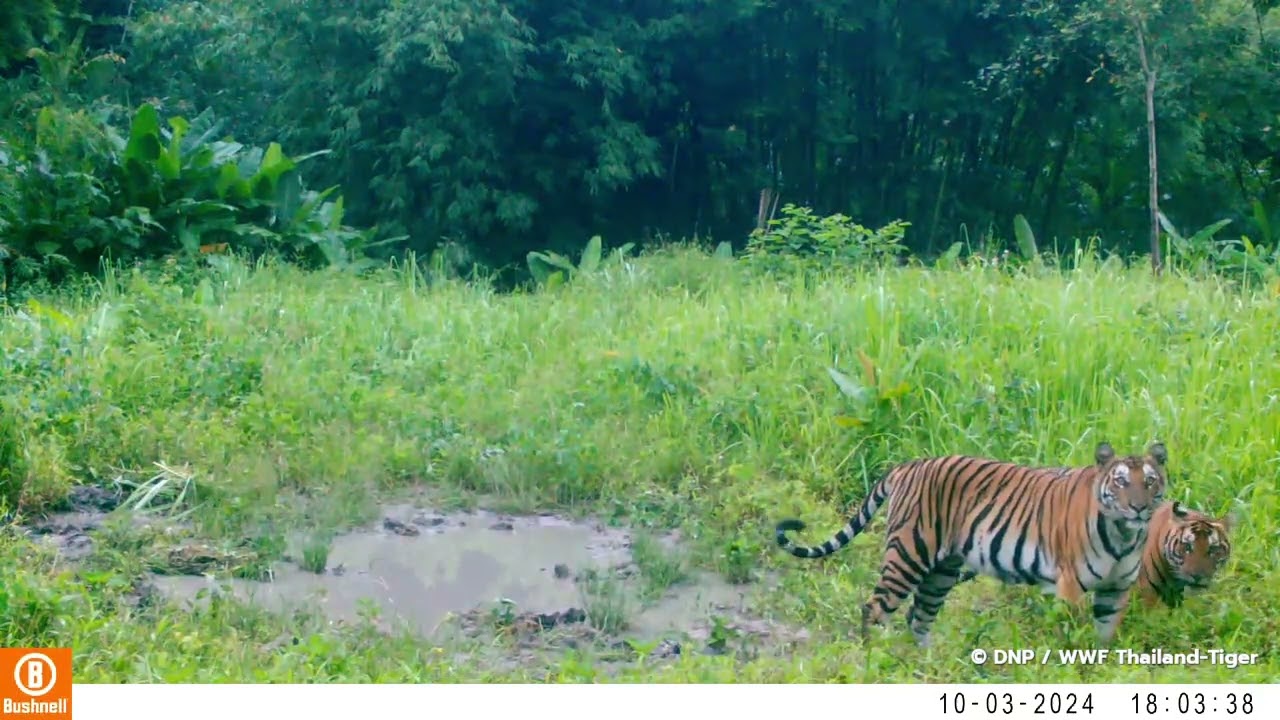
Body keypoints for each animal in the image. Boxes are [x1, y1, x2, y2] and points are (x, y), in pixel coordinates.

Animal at [773, 441, 1169, 647]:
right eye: (1120, 481)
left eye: (1149, 481)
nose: (1139, 506)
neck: (1124, 534)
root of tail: (908, 464)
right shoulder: (1069, 586)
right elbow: (1071, 639)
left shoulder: (1115, 591)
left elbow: (1103, 639)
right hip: (908, 555)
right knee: (874, 608)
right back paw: (874, 657)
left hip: (942, 571)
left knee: (918, 617)